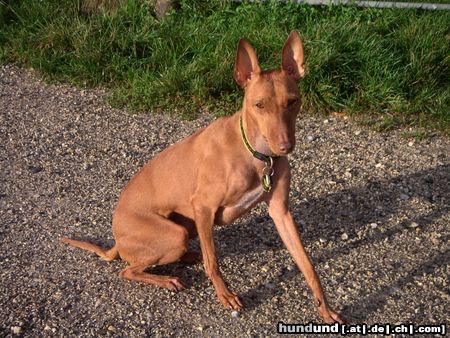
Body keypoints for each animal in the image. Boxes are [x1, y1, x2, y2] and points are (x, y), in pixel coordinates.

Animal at [61, 32, 342, 324]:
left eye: (293, 101)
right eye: (259, 105)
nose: (285, 147)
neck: (257, 154)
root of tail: (117, 240)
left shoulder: (280, 212)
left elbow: (307, 264)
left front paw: (325, 307)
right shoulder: (203, 207)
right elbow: (213, 262)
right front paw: (226, 295)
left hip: (186, 227)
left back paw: (188, 257)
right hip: (174, 234)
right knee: (128, 270)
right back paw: (167, 279)